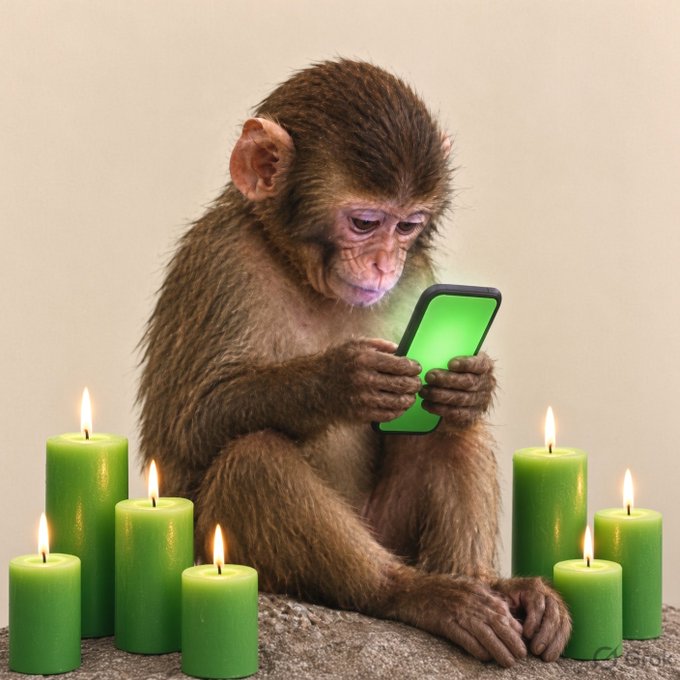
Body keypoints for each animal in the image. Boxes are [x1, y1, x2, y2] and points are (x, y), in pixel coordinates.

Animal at [138, 59, 571, 667]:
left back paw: (490, 584)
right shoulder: (220, 260)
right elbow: (187, 425)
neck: (296, 267)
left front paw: (473, 382)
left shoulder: (420, 276)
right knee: (254, 457)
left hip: (387, 527)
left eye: (408, 226)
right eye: (365, 223)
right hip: (223, 556)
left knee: (451, 430)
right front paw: (341, 380)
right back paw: (409, 593)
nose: (385, 263)